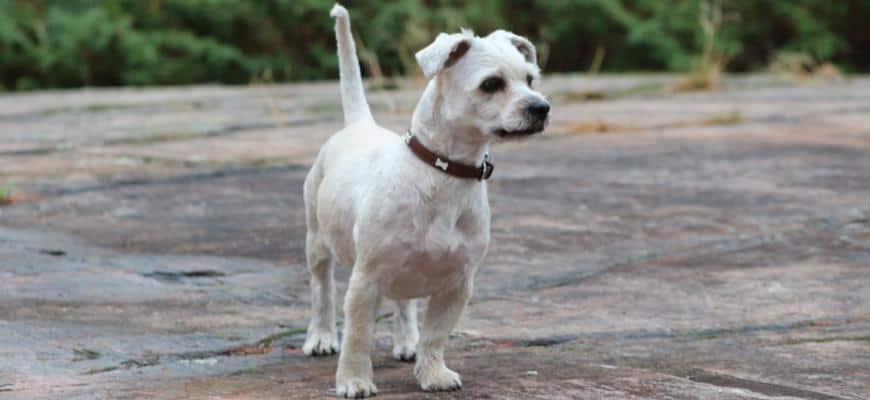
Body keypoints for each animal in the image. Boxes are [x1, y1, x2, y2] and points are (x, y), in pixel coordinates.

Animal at [304, 3, 552, 396]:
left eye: (530, 80)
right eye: (491, 84)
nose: (542, 108)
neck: (444, 172)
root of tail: (359, 124)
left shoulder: (457, 284)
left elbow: (435, 335)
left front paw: (433, 373)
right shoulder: (366, 280)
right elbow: (357, 336)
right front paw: (354, 381)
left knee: (404, 304)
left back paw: (406, 342)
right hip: (316, 240)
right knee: (321, 289)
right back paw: (321, 337)